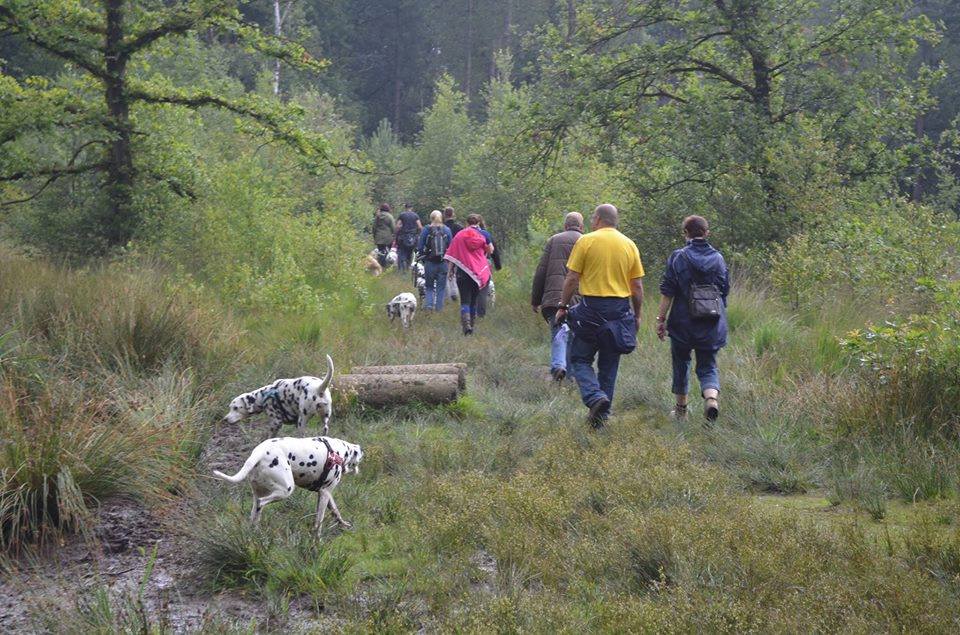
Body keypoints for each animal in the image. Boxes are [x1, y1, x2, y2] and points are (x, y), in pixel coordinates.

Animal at [215, 434, 364, 536]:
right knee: (261, 503)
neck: (339, 451)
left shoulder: (325, 494)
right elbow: (319, 522)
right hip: (285, 490)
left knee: (254, 514)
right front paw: (317, 540)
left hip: (259, 493)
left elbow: (335, 511)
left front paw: (343, 524)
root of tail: (259, 452)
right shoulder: (325, 493)